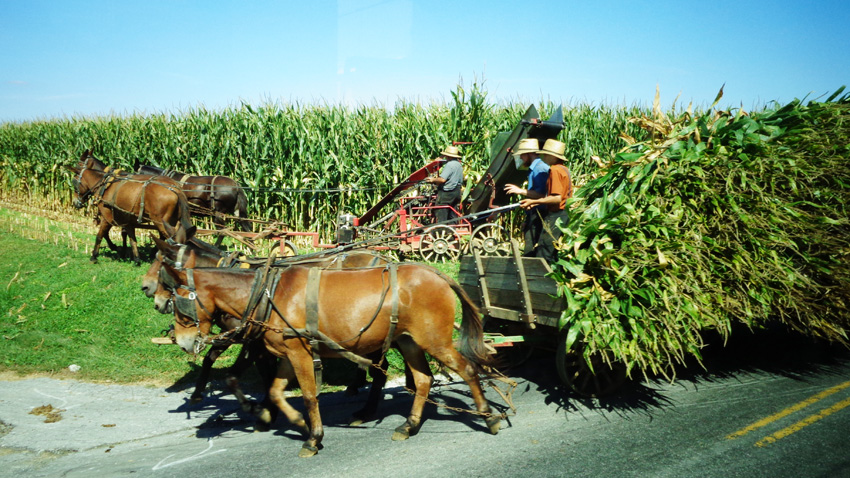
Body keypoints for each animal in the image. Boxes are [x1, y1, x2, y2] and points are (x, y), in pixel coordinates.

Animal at [154, 260, 496, 458]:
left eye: (178, 304)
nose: (183, 343)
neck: (268, 295)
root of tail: (435, 273)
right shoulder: (287, 354)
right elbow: (276, 392)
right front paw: (293, 422)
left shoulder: (299, 352)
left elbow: (308, 394)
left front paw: (313, 437)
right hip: (408, 341)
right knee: (424, 379)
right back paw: (409, 425)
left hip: (434, 340)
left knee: (467, 369)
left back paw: (488, 416)